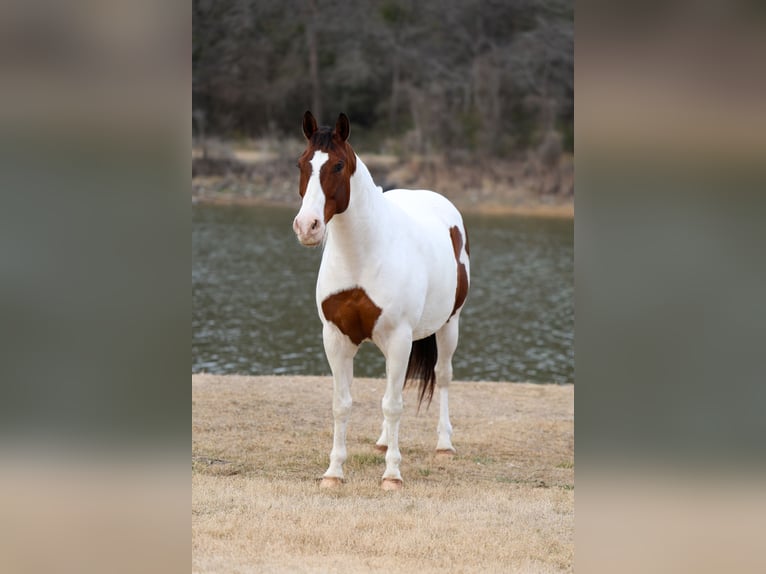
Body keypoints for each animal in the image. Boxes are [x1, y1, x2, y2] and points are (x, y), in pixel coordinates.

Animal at [292, 111, 470, 490]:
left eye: (338, 165)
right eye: (301, 163)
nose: (307, 226)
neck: (362, 256)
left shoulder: (399, 337)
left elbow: (394, 404)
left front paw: (392, 475)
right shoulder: (336, 337)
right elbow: (342, 404)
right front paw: (333, 472)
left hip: (449, 325)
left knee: (442, 377)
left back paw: (444, 445)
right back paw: (384, 441)